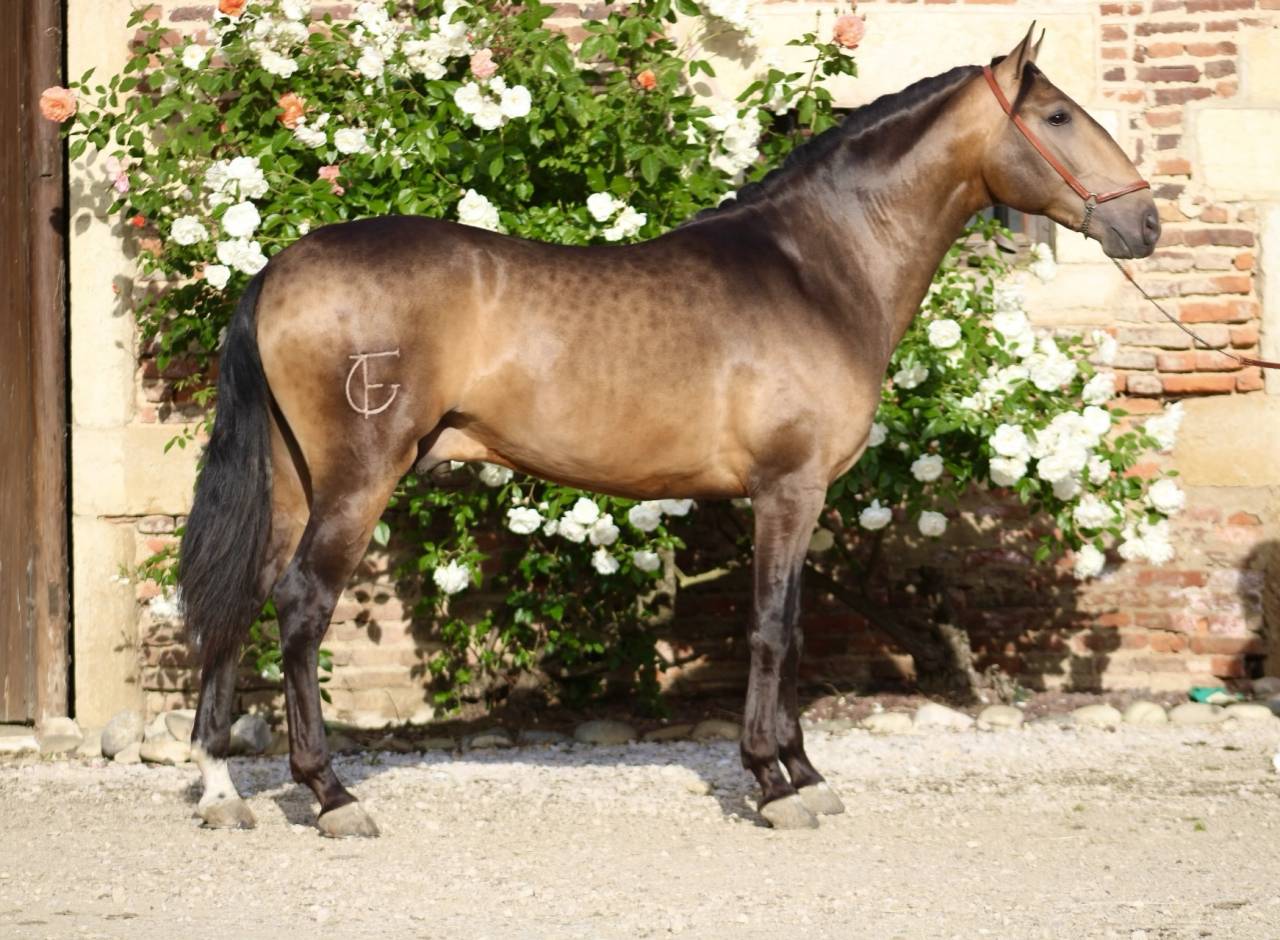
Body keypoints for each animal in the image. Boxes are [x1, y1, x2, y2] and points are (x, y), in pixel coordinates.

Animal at [179, 27, 1158, 837]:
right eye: (1059, 115)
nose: (1144, 220)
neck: (814, 268)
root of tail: (277, 269)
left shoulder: (796, 496)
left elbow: (791, 628)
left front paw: (804, 773)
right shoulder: (789, 489)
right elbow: (771, 627)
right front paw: (773, 781)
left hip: (292, 481)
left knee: (242, 601)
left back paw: (221, 789)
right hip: (357, 479)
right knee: (300, 605)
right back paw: (330, 794)